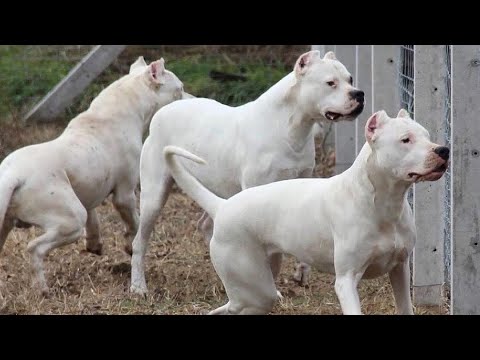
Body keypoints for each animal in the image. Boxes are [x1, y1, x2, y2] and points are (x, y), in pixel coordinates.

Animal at [0, 55, 188, 292]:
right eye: (180, 89)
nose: (193, 99)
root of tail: (13, 176)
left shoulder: (89, 191)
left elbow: (94, 220)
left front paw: (95, 245)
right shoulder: (125, 194)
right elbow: (134, 223)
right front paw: (130, 245)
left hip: (7, 223)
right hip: (71, 220)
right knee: (34, 248)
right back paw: (42, 289)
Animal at [164, 109, 450, 316]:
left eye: (427, 135)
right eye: (405, 140)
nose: (443, 150)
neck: (383, 202)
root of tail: (222, 206)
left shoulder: (399, 269)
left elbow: (405, 306)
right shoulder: (346, 281)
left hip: (262, 281)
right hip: (253, 287)